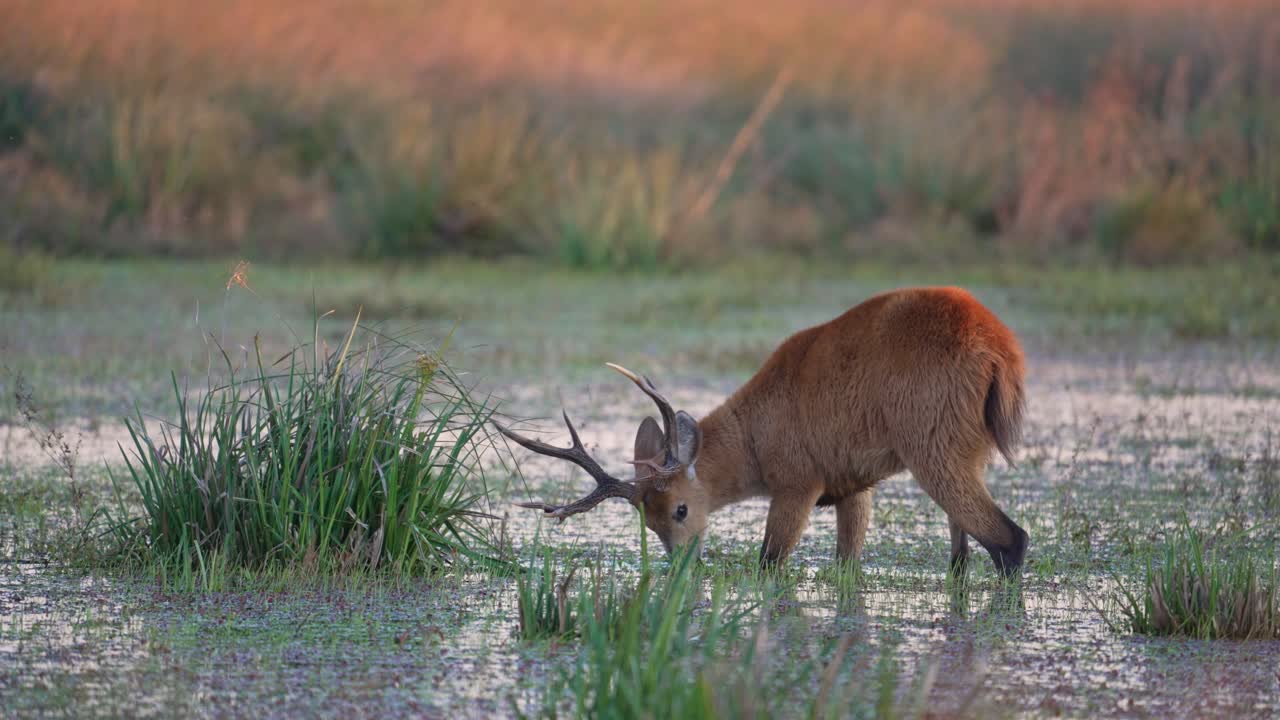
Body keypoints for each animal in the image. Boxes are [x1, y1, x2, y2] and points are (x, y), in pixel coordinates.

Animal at [495, 286, 1029, 575]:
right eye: (648, 521)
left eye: (681, 508)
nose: (682, 564)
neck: (756, 442)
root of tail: (999, 349)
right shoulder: (853, 484)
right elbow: (847, 565)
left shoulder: (798, 480)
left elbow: (769, 561)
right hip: (969, 451)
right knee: (961, 556)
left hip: (933, 444)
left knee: (1011, 540)